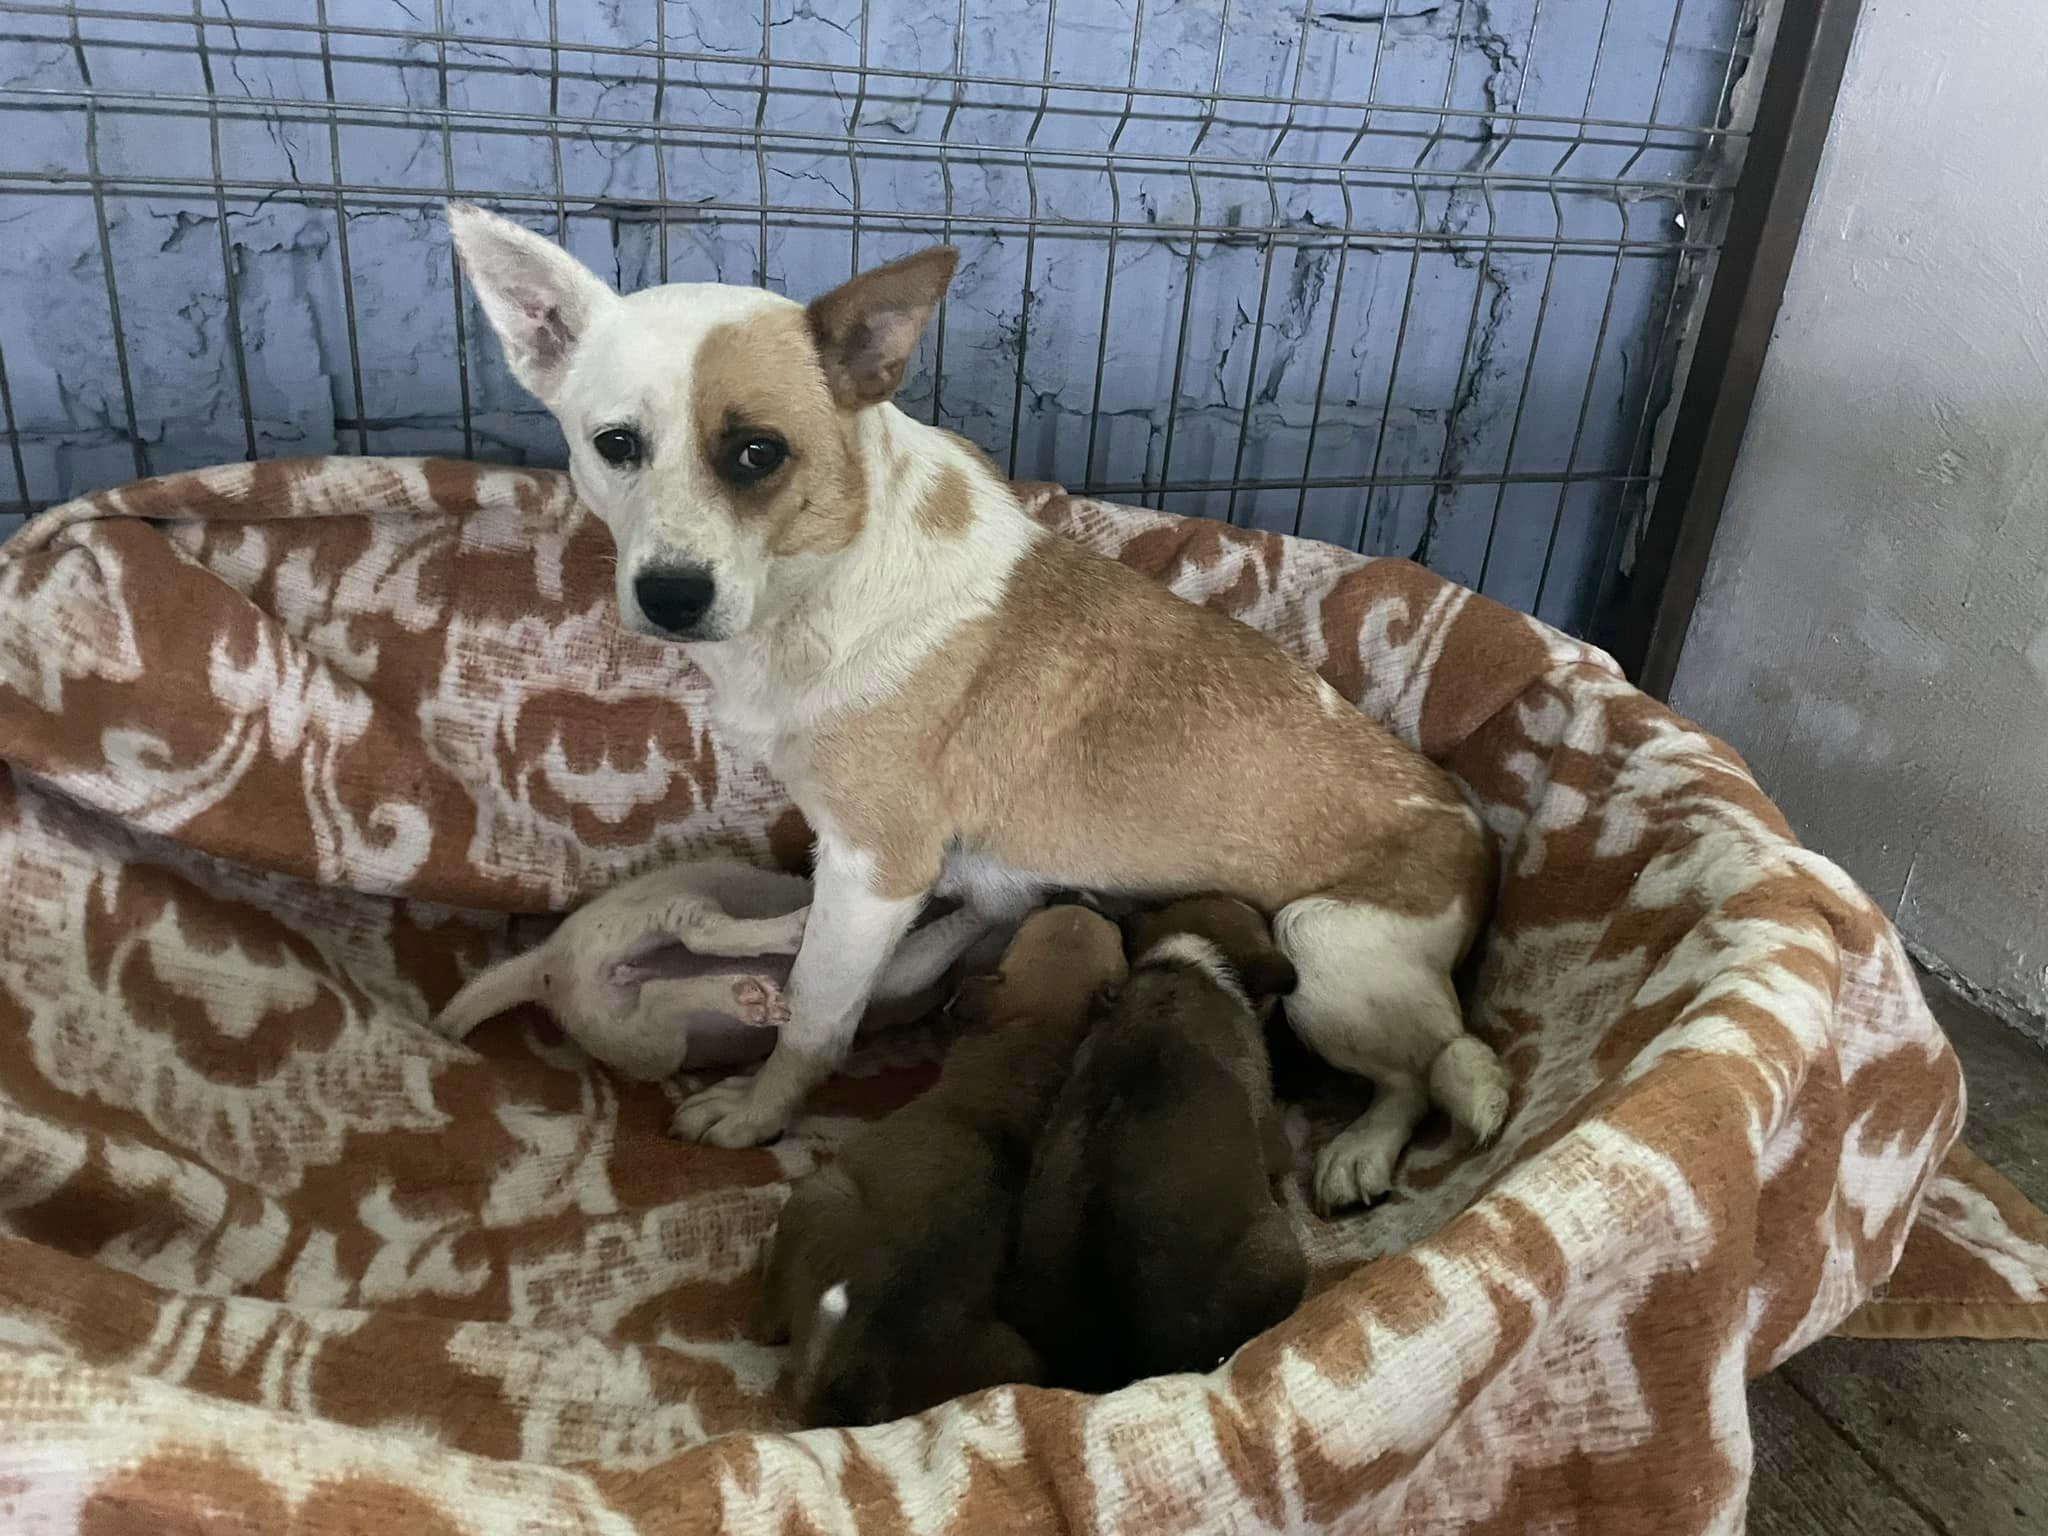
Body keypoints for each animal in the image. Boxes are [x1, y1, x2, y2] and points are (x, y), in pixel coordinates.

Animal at [444, 204, 1507, 1212]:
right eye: (615, 445)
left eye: (757, 453)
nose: (669, 598)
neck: (827, 578)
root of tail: (1476, 831)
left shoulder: (875, 868)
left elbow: (815, 1015)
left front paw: (757, 1112)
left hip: (1322, 941)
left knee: (1423, 1071)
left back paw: (1364, 1148)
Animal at [757, 901, 1138, 1433]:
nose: (1083, 900)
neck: (1039, 1026)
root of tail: (859, 1371)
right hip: (1014, 1355)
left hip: (815, 1194)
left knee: (770, 1317)